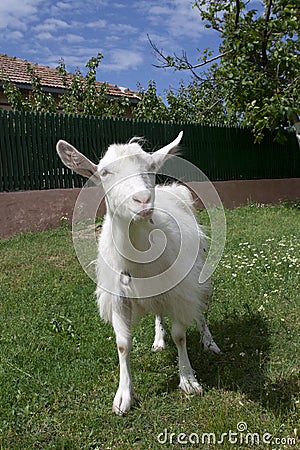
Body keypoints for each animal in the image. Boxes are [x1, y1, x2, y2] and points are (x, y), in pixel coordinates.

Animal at [56, 132, 220, 416]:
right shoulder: (118, 297)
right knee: (159, 312)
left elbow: (180, 335)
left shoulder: (178, 289)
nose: (142, 199)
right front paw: (123, 396)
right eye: (105, 172)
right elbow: (123, 344)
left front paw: (188, 380)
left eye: (151, 167)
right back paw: (158, 339)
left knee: (199, 309)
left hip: (197, 270)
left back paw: (209, 342)